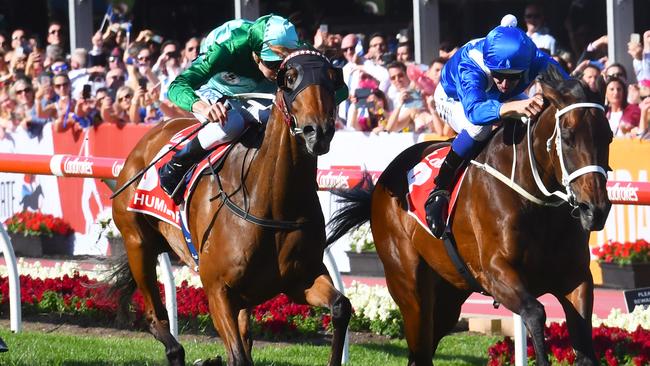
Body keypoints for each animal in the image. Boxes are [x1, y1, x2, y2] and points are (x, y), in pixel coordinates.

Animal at [109, 48, 350, 366]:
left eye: (333, 78)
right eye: (289, 79)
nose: (317, 131)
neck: (272, 204)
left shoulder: (302, 278)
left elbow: (340, 306)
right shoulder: (217, 291)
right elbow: (238, 355)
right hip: (138, 243)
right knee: (155, 319)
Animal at [326, 66, 612, 366]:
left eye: (608, 136)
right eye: (567, 137)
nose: (596, 209)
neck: (537, 201)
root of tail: (383, 183)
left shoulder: (576, 278)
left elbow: (584, 347)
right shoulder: (495, 273)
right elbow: (535, 312)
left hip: (449, 294)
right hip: (409, 287)